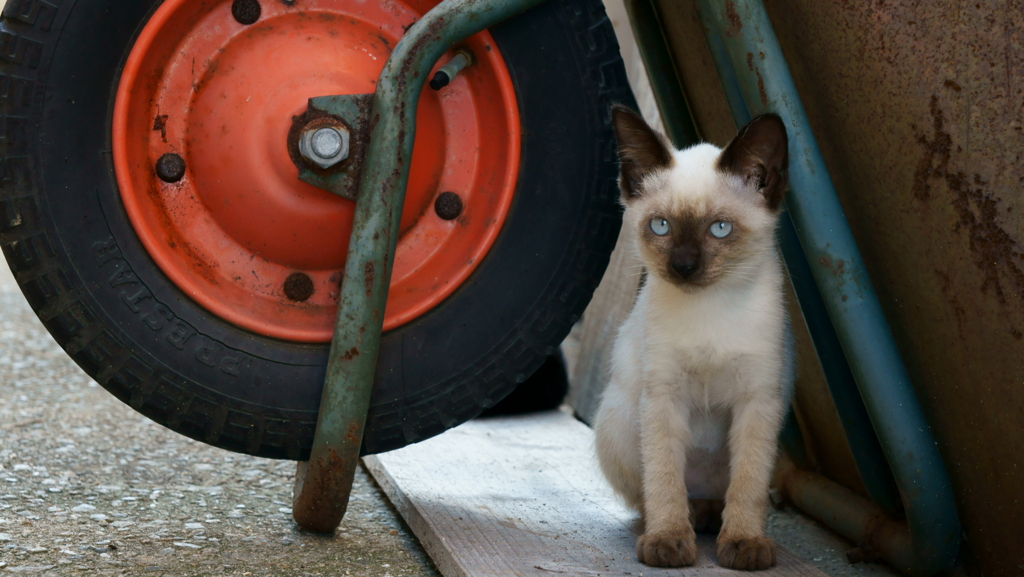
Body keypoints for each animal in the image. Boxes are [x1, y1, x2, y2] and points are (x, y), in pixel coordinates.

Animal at [593, 106, 798, 569]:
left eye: (719, 229)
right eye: (661, 226)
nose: (684, 266)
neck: (710, 307)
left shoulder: (758, 401)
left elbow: (748, 485)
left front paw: (744, 545)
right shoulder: (663, 397)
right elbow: (664, 479)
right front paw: (668, 542)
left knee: (722, 495)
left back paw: (710, 518)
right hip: (620, 419)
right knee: (655, 494)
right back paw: (681, 521)